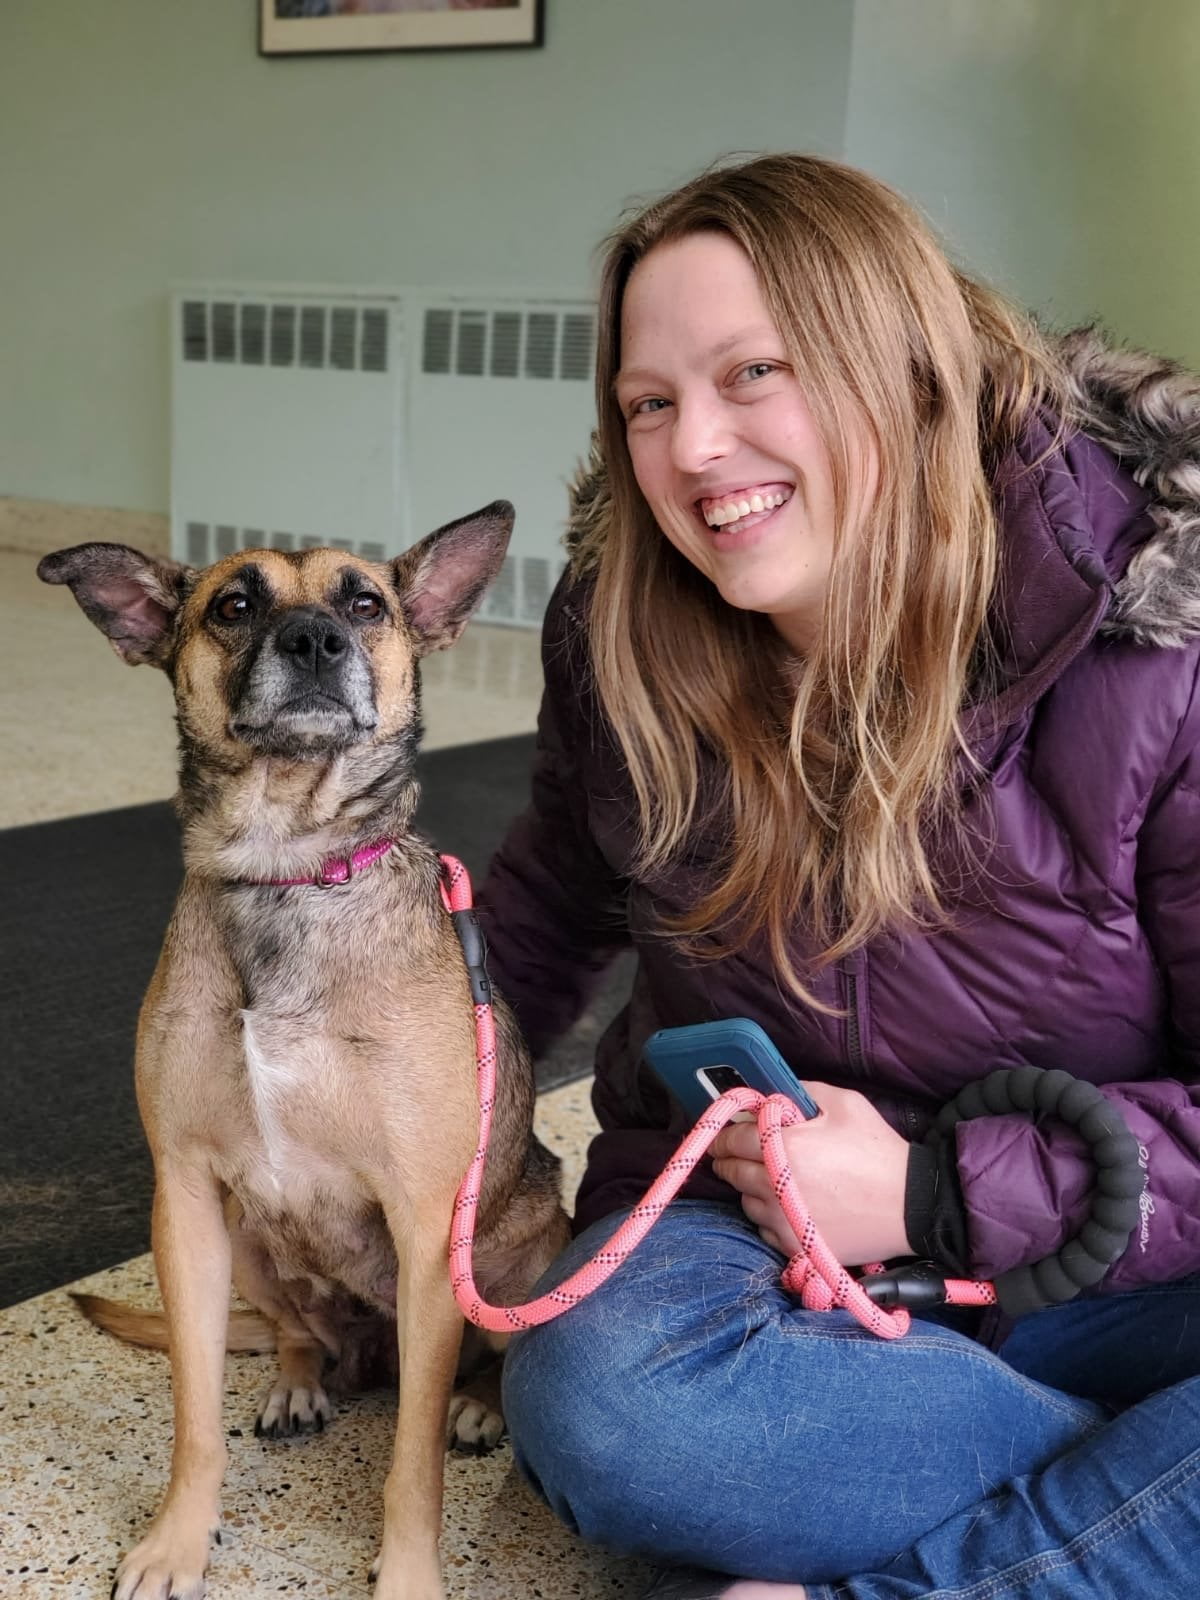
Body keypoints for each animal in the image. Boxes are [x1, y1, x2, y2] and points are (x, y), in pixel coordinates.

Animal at [40, 502, 576, 1600]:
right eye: (233, 604)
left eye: (363, 602)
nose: (316, 641)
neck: (287, 868)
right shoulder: (184, 1201)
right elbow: (193, 1417)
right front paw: (177, 1540)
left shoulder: (426, 1232)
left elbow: (410, 1462)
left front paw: (408, 1574)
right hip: (246, 1239)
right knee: (297, 1332)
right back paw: (297, 1381)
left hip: (526, 1242)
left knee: (477, 1364)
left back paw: (480, 1403)